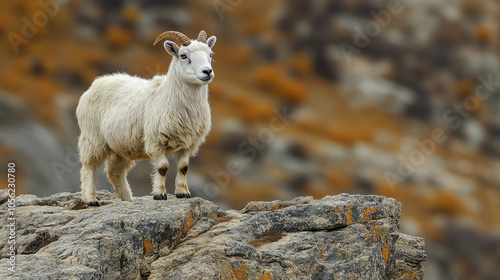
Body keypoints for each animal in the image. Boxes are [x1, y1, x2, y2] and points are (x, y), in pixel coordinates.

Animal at [75, 30, 216, 206]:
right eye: (183, 56)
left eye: (210, 54)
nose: (207, 71)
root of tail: (96, 82)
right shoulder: (156, 141)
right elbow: (162, 168)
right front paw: (160, 194)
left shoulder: (188, 144)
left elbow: (183, 167)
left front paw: (183, 193)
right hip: (93, 138)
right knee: (89, 166)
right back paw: (91, 199)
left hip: (121, 145)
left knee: (115, 171)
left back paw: (127, 199)